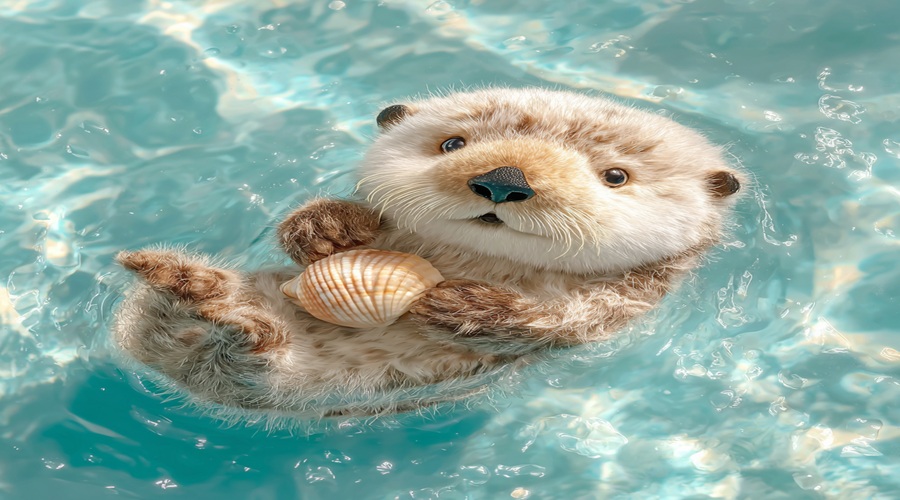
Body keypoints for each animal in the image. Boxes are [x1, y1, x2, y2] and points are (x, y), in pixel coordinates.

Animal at [112, 88, 743, 420]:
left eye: (615, 176)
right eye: (452, 143)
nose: (503, 179)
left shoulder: (626, 299)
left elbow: (564, 320)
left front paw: (463, 306)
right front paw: (324, 227)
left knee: (246, 353)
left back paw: (218, 311)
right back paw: (184, 283)